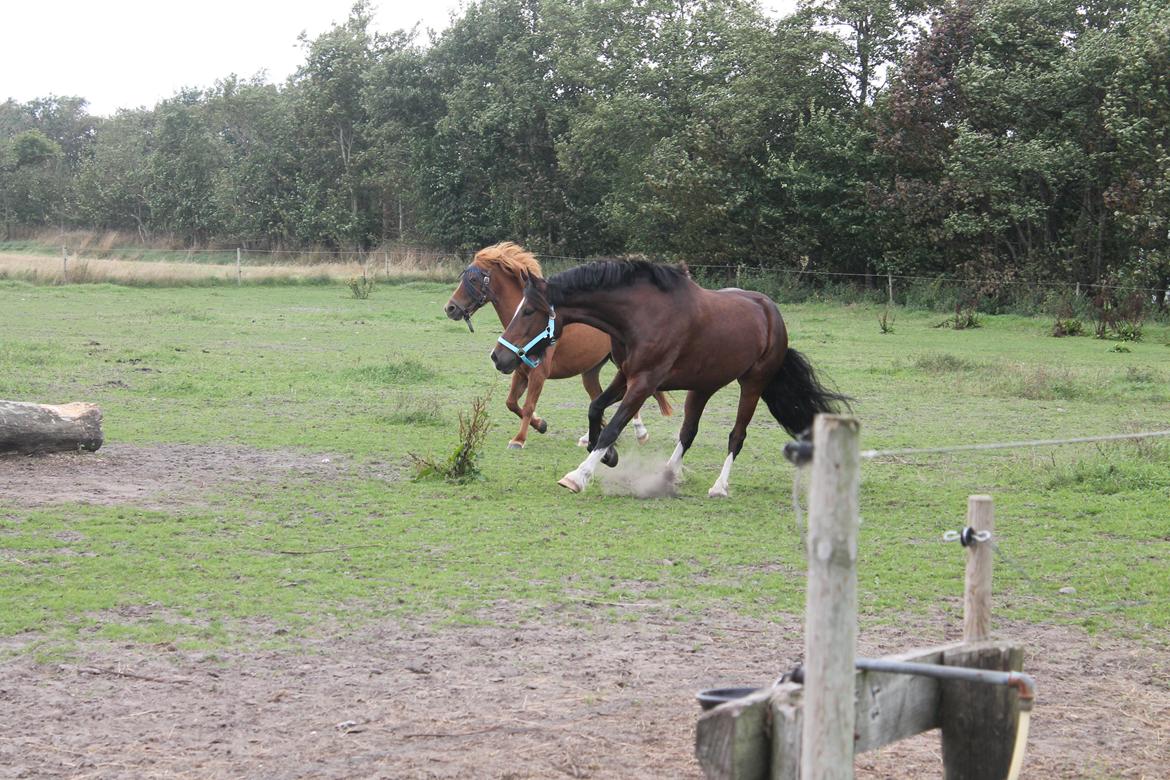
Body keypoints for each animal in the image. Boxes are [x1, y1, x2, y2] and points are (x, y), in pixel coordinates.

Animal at [442, 244, 673, 451]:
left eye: (472, 279)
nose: (450, 308)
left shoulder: (538, 374)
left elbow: (528, 406)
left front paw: (519, 440)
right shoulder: (520, 372)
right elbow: (512, 403)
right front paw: (541, 425)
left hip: (621, 364)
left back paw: (640, 432)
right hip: (591, 371)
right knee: (598, 397)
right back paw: (590, 436)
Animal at [489, 260, 847, 493]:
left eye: (529, 311)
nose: (498, 356)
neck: (641, 316)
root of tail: (772, 312)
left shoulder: (644, 382)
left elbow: (613, 425)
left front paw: (580, 475)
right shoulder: (626, 375)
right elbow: (596, 409)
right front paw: (609, 456)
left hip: (753, 384)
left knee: (736, 436)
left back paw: (719, 486)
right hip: (702, 387)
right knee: (688, 432)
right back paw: (667, 475)